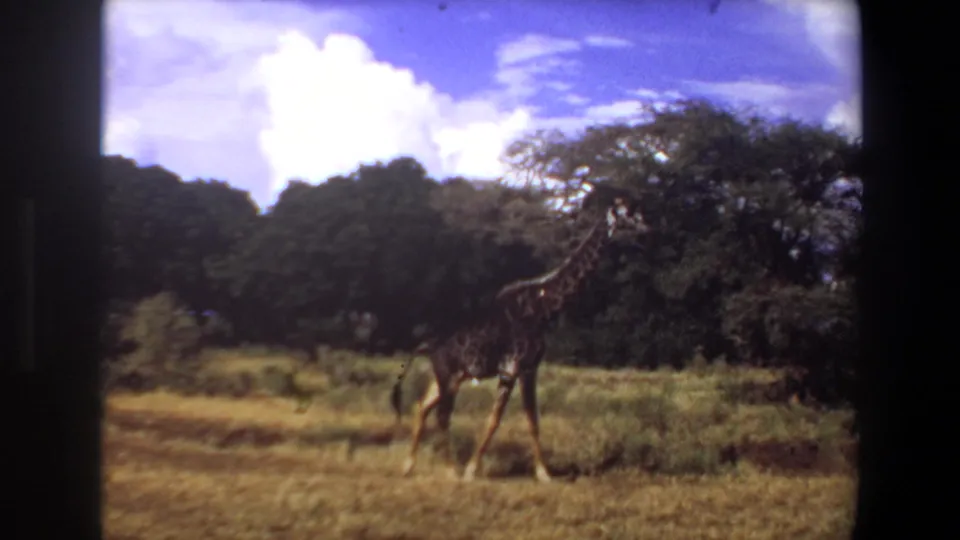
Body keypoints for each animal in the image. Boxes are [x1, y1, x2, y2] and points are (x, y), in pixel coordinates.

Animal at [392, 190, 650, 482]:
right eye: (628, 212)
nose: (646, 227)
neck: (543, 307)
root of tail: (426, 345)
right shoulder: (513, 368)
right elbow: (496, 420)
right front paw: (473, 470)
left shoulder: (529, 369)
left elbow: (531, 420)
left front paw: (544, 473)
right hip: (449, 375)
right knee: (441, 415)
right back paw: (451, 470)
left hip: (450, 377)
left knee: (423, 406)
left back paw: (409, 466)